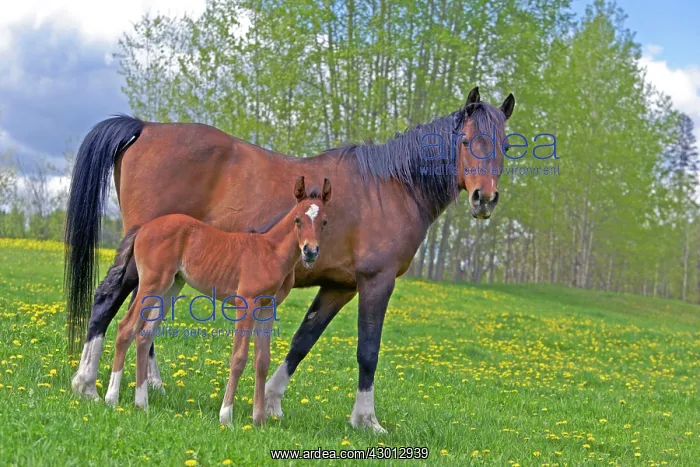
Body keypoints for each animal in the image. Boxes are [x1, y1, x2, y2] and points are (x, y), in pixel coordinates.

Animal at [101, 176, 330, 425]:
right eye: (297, 220)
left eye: (324, 222)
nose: (310, 251)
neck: (271, 253)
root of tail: (144, 227)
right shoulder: (246, 304)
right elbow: (239, 358)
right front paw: (226, 416)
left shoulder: (268, 309)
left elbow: (262, 361)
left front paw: (259, 419)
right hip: (151, 284)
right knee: (126, 327)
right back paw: (111, 398)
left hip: (170, 287)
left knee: (144, 334)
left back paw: (142, 403)